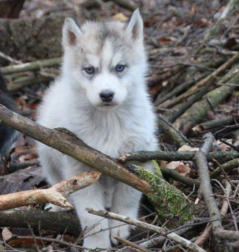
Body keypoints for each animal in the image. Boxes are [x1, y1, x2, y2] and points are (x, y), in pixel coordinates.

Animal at [37, 9, 157, 248]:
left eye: (120, 67)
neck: (108, 120)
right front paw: (97, 245)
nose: (106, 95)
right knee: (56, 182)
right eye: (89, 70)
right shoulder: (80, 167)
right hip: (47, 153)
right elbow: (91, 215)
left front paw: (120, 226)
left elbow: (128, 196)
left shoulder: (137, 157)